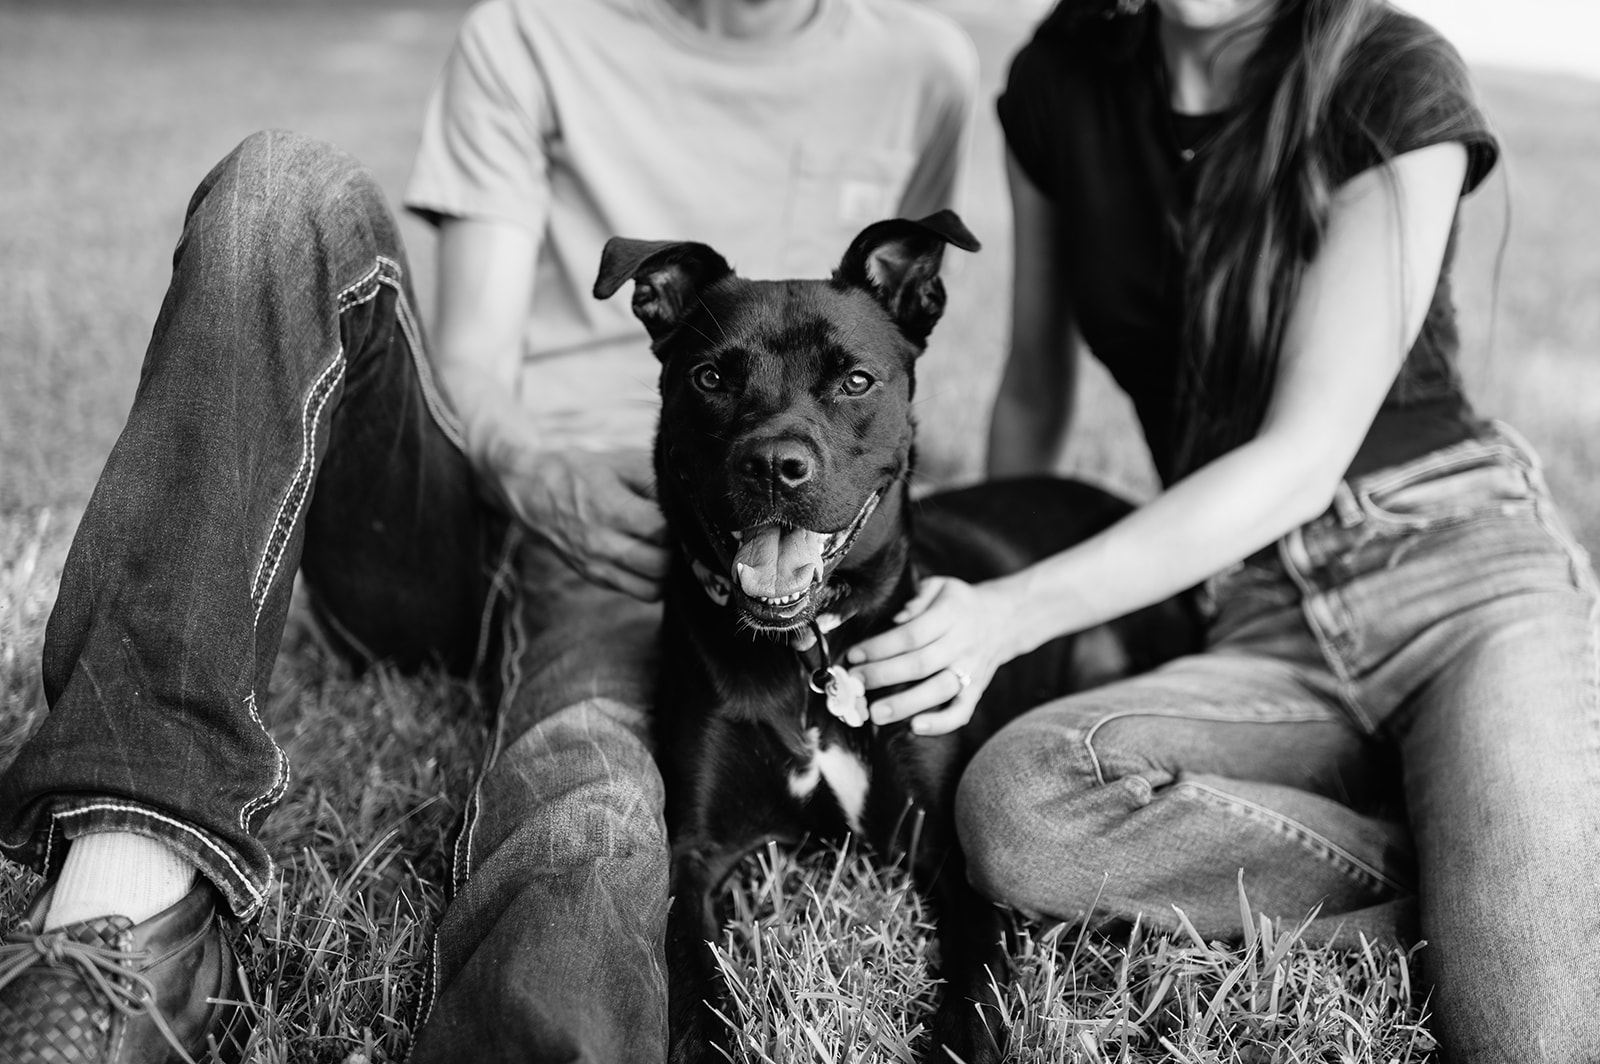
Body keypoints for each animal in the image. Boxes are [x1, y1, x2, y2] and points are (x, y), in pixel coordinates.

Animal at [595, 211, 1196, 1056]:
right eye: (711, 379)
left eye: (855, 381)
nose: (774, 465)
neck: (810, 653)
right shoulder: (696, 850)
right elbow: (693, 974)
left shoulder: (951, 851)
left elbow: (976, 973)